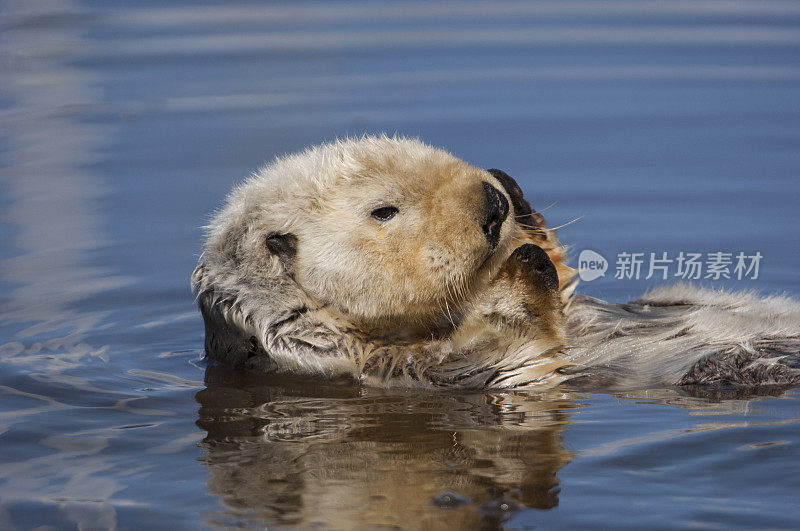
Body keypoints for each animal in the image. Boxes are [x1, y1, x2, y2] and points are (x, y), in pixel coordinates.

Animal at [194, 135, 800, 388]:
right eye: (384, 210)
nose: (492, 204)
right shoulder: (382, 364)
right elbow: (519, 353)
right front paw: (518, 270)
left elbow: (566, 285)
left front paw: (517, 201)